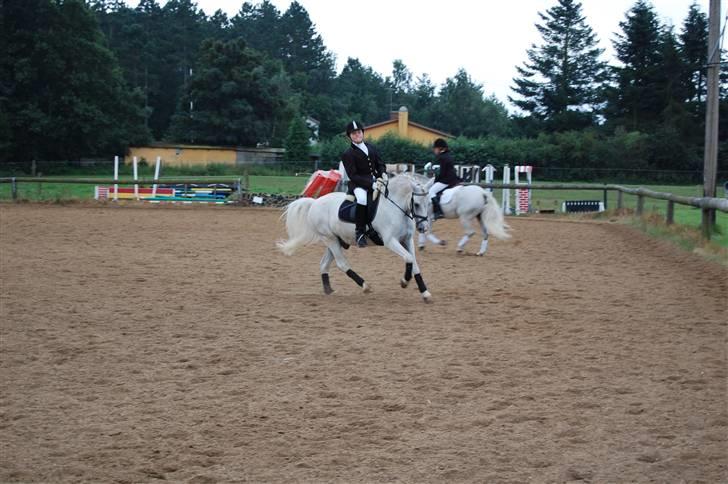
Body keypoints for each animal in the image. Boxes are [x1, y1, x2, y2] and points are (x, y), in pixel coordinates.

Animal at [277, 174, 434, 302]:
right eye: (417, 204)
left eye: (429, 203)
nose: (423, 228)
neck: (396, 207)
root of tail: (315, 203)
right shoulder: (390, 241)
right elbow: (408, 258)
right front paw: (404, 281)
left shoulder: (406, 240)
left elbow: (414, 262)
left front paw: (425, 293)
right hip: (330, 239)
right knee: (342, 264)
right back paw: (365, 286)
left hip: (336, 240)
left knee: (324, 264)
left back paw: (329, 290)